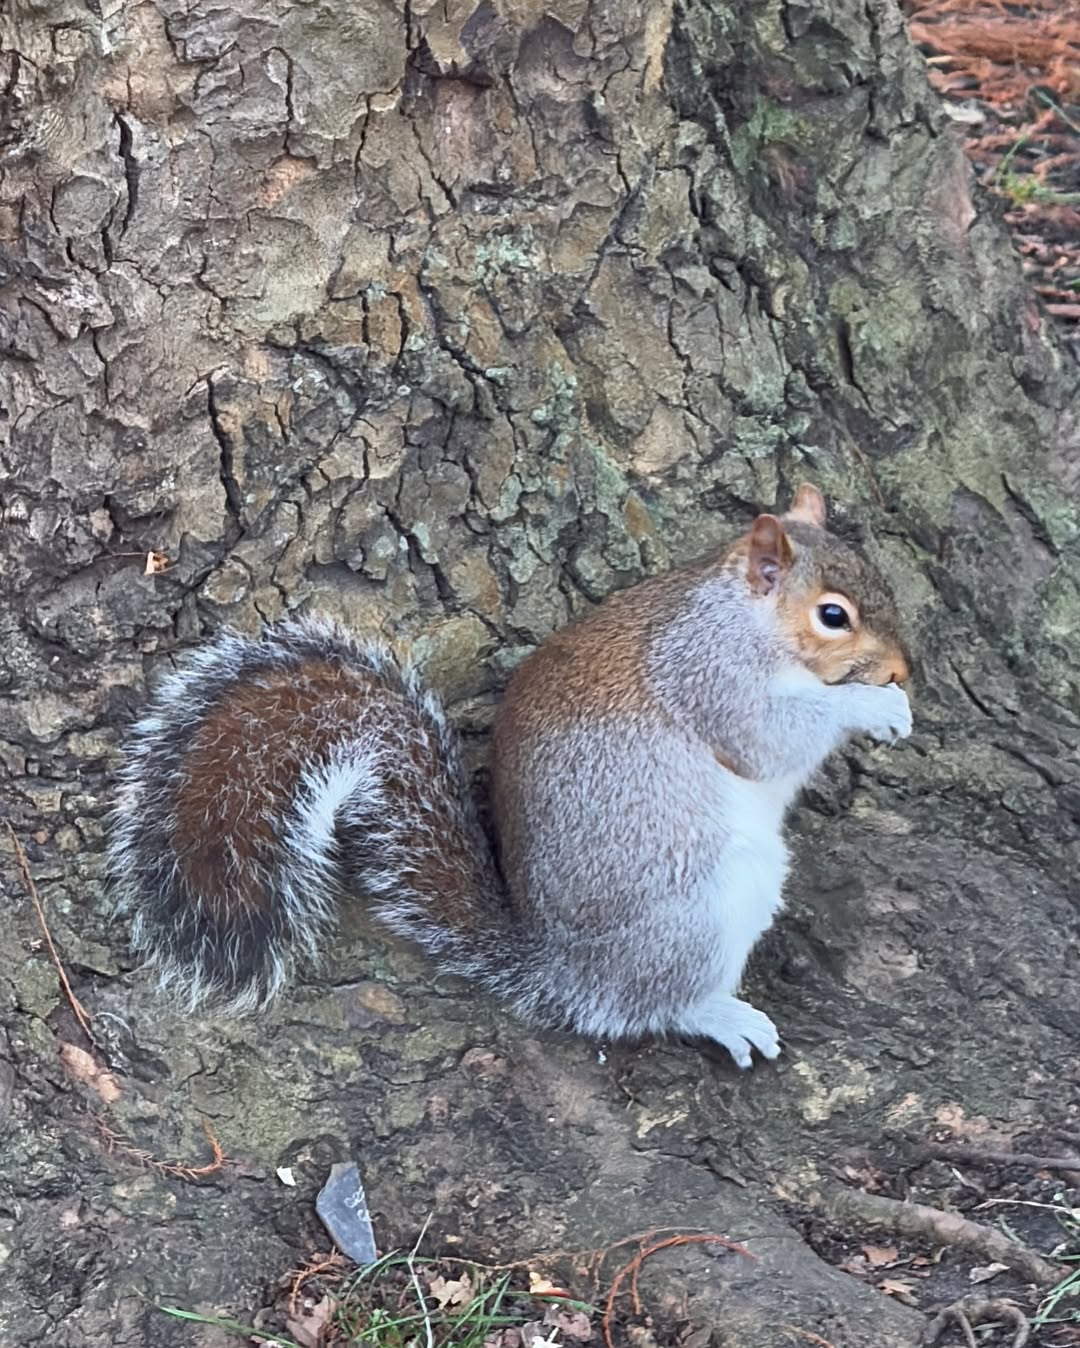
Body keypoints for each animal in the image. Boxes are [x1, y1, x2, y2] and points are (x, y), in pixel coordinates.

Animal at [111, 485, 911, 1062]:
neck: (742, 618)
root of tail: (559, 969)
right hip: (707, 907)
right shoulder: (710, 678)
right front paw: (875, 707)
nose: (904, 668)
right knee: (647, 1005)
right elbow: (768, 742)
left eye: (885, 585)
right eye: (833, 616)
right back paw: (719, 1015)